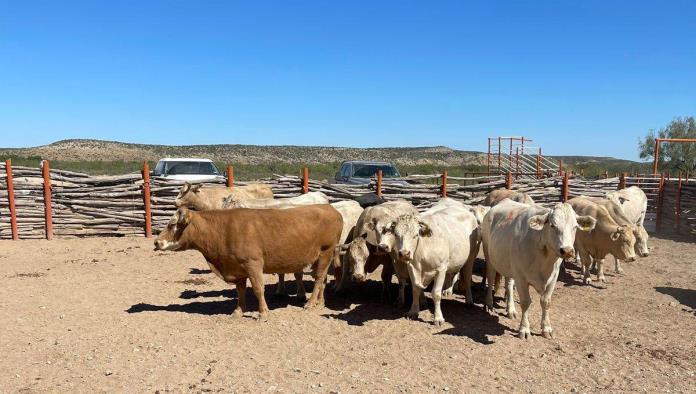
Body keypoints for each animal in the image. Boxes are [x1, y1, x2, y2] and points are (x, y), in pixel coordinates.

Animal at [155, 205, 346, 318]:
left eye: (172, 224)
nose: (156, 242)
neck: (223, 230)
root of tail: (330, 207)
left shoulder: (253, 263)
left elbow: (257, 288)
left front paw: (263, 312)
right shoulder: (237, 268)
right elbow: (240, 291)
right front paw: (238, 310)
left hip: (326, 251)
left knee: (319, 278)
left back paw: (311, 302)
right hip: (323, 256)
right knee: (323, 279)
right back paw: (320, 301)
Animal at [482, 200, 596, 338]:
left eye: (575, 227)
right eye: (552, 225)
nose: (567, 250)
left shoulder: (553, 277)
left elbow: (546, 301)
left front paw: (546, 328)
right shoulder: (521, 277)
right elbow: (525, 302)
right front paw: (524, 329)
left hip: (508, 264)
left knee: (508, 284)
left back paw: (511, 310)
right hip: (489, 257)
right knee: (490, 278)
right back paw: (489, 304)